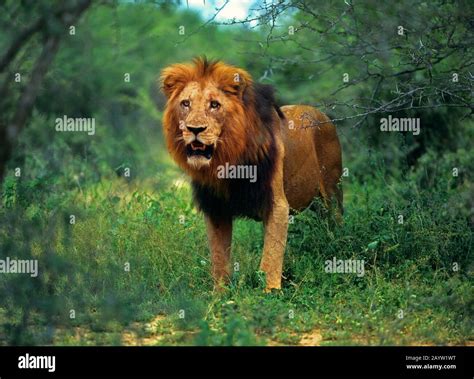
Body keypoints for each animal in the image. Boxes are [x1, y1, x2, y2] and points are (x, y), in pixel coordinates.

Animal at [161, 58, 342, 292]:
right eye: (185, 104)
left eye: (214, 105)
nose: (195, 129)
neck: (226, 161)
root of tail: (323, 115)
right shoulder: (215, 209)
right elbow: (219, 257)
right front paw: (219, 293)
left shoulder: (276, 204)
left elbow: (271, 255)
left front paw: (270, 292)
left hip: (332, 193)